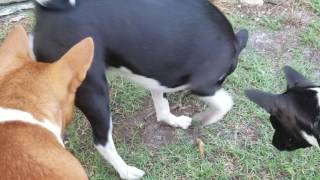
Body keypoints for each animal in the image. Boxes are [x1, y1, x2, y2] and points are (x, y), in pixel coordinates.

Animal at [32, 0, 249, 179]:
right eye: (222, 78)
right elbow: (226, 103)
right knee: (102, 142)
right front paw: (206, 118)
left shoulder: (158, 77)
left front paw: (173, 120)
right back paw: (126, 171)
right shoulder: (203, 84)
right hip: (95, 94)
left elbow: (162, 108)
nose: (221, 82)